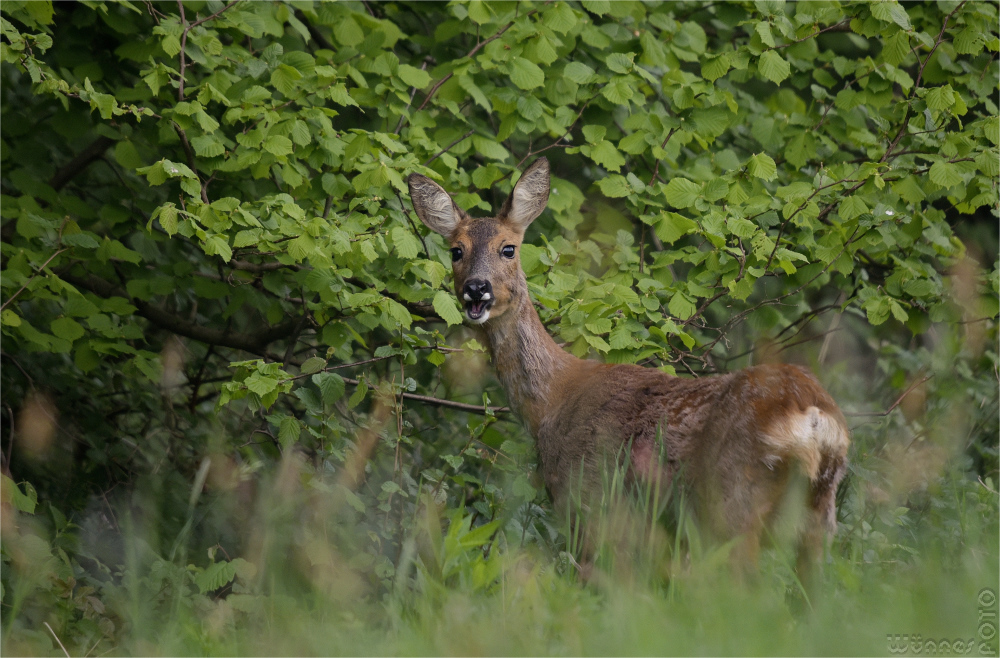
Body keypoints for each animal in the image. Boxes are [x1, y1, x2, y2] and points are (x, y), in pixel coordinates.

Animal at [406, 158, 852, 568]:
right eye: (456, 251)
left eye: (508, 248)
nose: (475, 290)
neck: (552, 402)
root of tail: (812, 416)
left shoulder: (588, 499)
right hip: (819, 515)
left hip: (730, 501)